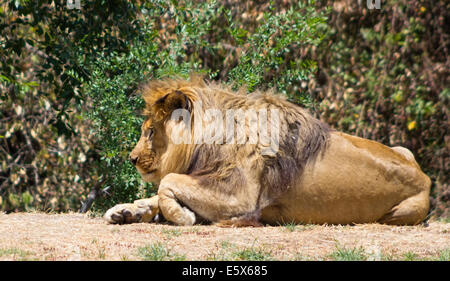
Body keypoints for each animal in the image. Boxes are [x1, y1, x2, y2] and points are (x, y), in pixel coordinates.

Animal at [103, 76, 430, 225]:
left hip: (399, 214)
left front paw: (182, 216)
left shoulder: (240, 197)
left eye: (150, 131)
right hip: (403, 148)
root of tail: (425, 178)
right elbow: (156, 194)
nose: (132, 159)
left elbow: (168, 183)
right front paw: (127, 210)